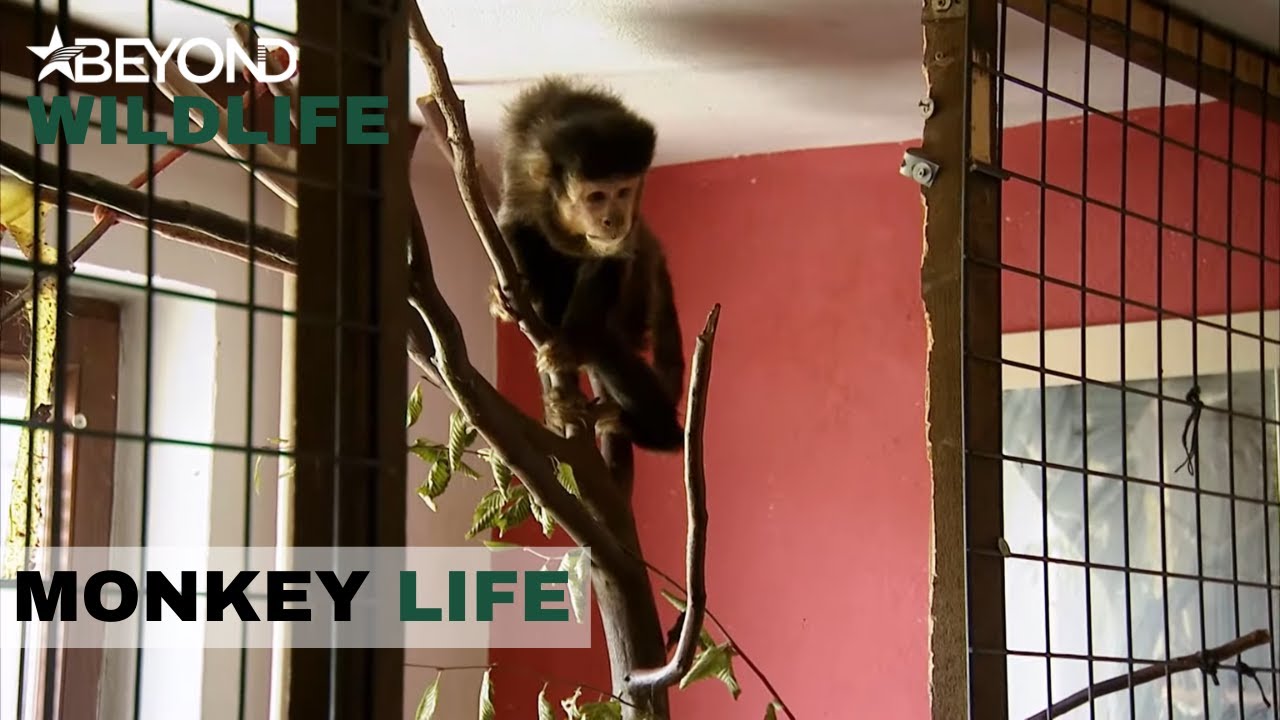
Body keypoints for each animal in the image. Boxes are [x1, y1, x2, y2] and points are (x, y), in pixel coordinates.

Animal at [489, 75, 685, 452]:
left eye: (623, 192)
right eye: (596, 197)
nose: (614, 218)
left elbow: (612, 258)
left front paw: (569, 348)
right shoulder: (522, 173)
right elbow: (513, 225)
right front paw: (511, 294)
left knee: (606, 340)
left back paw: (658, 432)